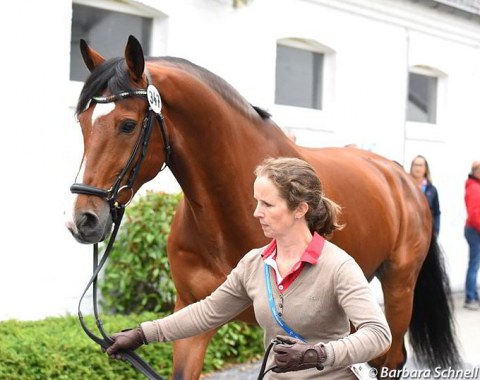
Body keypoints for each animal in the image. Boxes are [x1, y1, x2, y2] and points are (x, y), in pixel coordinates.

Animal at [65, 35, 460, 378]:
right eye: (82, 123)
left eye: (128, 124)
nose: (83, 220)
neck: (226, 214)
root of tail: (401, 177)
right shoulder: (193, 314)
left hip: (398, 289)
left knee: (388, 358)